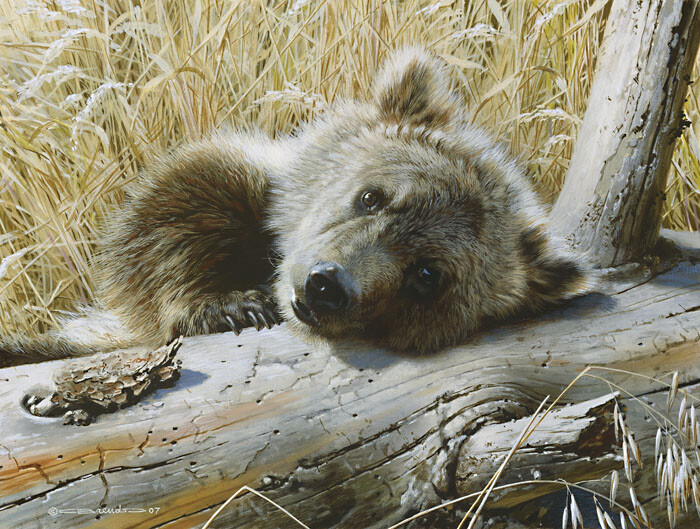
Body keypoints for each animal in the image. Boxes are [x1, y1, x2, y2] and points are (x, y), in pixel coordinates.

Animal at [0, 46, 591, 367]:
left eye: (428, 274)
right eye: (372, 196)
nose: (327, 284)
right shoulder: (245, 188)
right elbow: (177, 207)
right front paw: (227, 305)